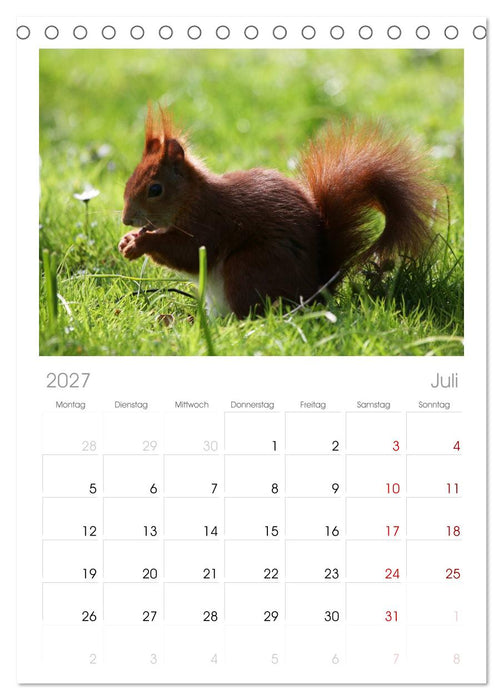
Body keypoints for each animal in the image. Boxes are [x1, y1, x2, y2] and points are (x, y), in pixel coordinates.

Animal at [119, 105, 438, 318]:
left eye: (155, 189)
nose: (126, 220)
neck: (191, 199)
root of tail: (315, 292)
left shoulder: (211, 222)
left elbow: (188, 252)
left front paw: (140, 243)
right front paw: (128, 241)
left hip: (248, 268)